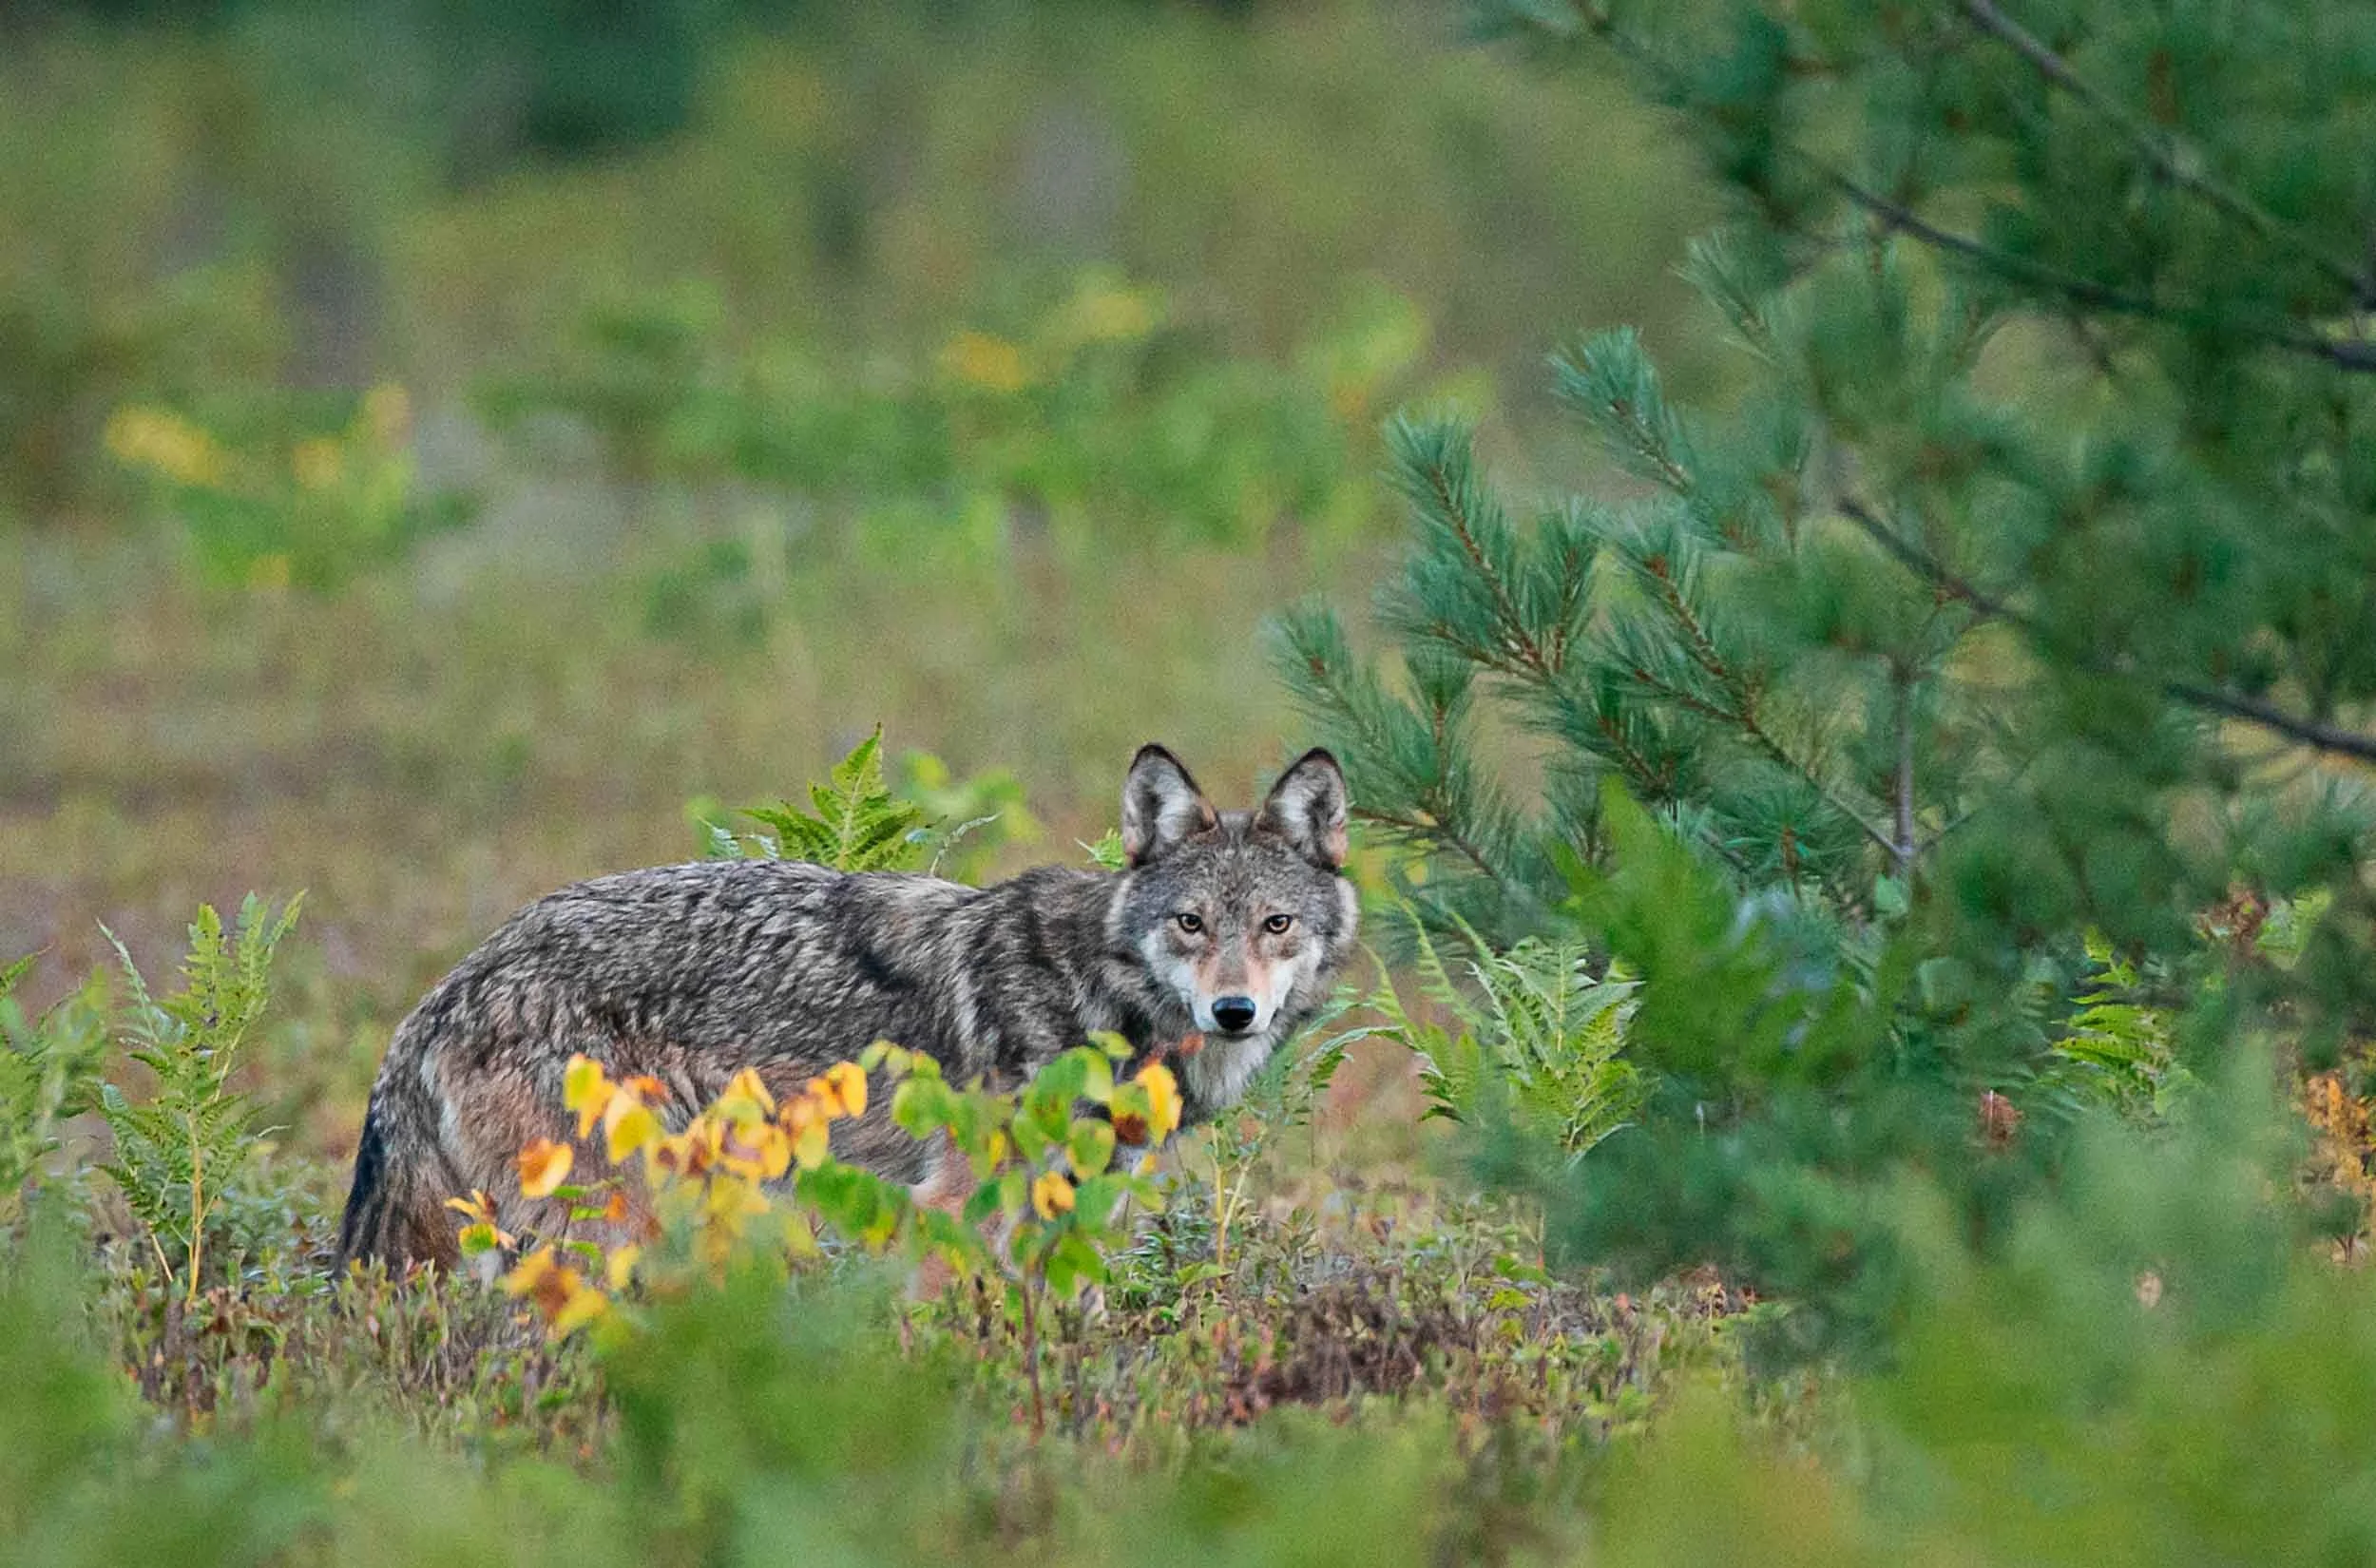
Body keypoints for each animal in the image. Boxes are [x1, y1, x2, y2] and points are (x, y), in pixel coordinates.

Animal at [337, 744, 1357, 1269]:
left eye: (1274, 924)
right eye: (1191, 923)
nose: (1235, 1011)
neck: (1097, 996)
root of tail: (444, 992)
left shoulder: (1065, 1210)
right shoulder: (956, 1206)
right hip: (623, 1222)